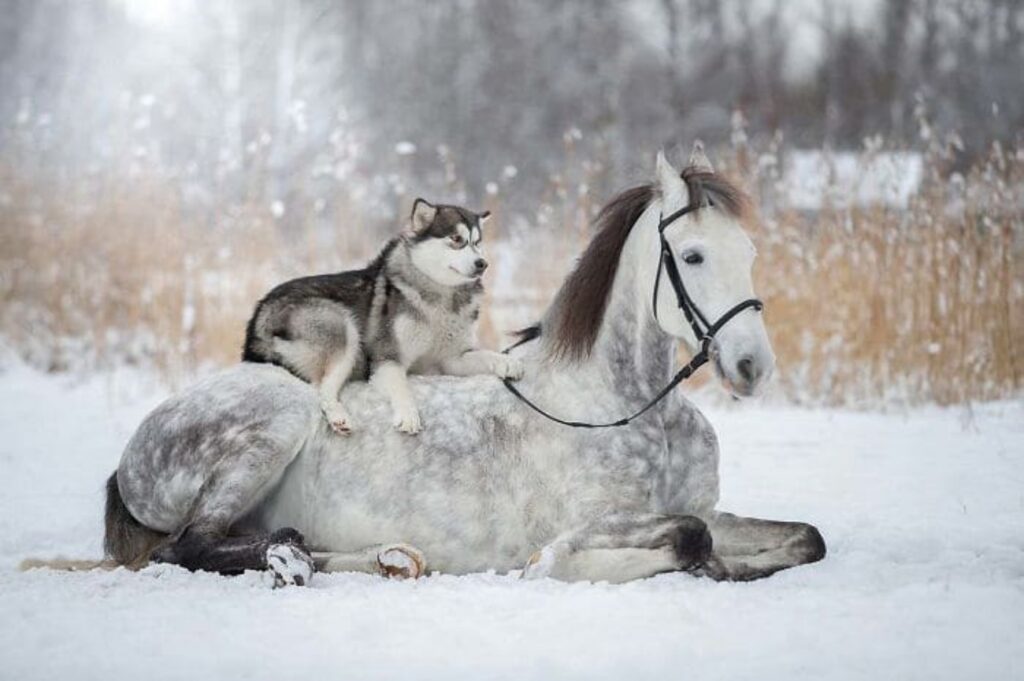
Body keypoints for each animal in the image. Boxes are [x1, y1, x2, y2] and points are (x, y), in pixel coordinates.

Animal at [239, 195, 520, 436]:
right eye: (456, 238)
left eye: (477, 242)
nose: (482, 264)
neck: (440, 297)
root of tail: (258, 317)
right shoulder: (387, 358)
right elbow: (401, 386)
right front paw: (408, 415)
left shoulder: (451, 360)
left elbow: (483, 355)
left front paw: (507, 362)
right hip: (342, 327)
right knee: (322, 389)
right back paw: (339, 417)